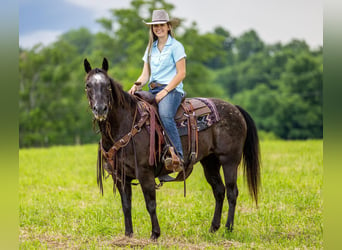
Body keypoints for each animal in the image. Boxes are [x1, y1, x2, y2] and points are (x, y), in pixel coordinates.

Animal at [84, 57, 260, 239]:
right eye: (88, 85)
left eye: (108, 85)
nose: (100, 109)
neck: (126, 125)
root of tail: (235, 109)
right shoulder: (120, 176)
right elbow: (126, 205)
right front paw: (128, 235)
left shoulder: (145, 173)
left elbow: (150, 203)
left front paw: (155, 234)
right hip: (210, 162)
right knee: (219, 191)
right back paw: (213, 227)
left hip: (229, 161)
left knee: (232, 192)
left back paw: (228, 228)